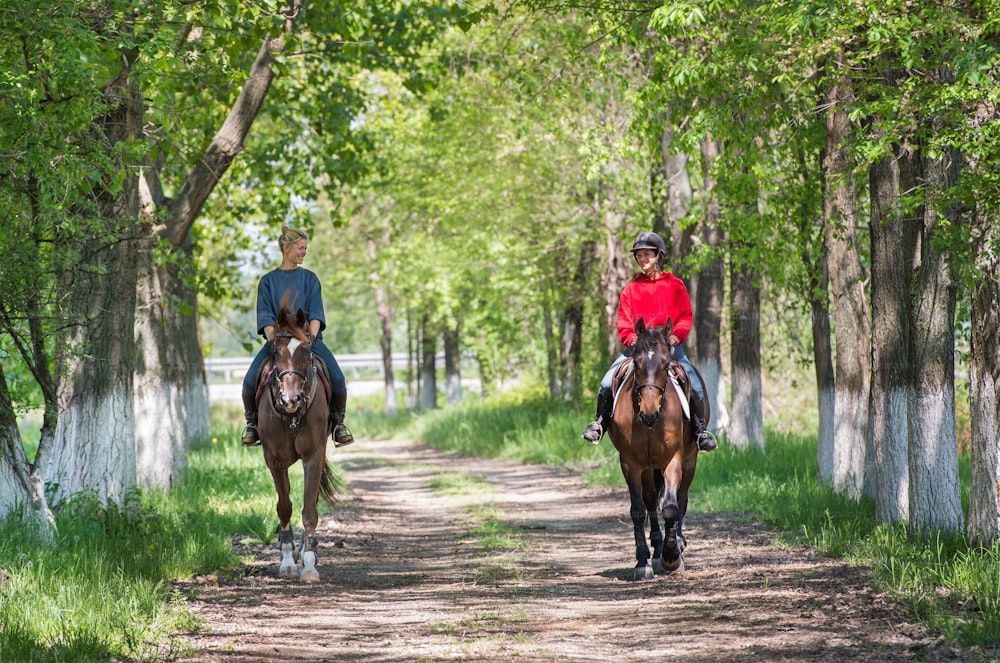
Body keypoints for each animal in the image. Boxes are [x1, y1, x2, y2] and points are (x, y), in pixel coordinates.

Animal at [256, 306, 338, 580]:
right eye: (276, 351)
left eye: (306, 350)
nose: (291, 399)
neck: (291, 415)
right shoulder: (274, 461)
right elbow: (284, 507)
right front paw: (287, 562)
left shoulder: (313, 456)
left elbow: (310, 511)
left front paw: (309, 564)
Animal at [604, 320, 708, 580]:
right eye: (637, 363)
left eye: (665, 364)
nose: (648, 413)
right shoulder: (630, 463)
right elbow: (638, 510)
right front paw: (643, 561)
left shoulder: (673, 459)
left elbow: (671, 507)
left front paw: (672, 557)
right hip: (648, 468)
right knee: (651, 500)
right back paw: (657, 547)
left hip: (689, 461)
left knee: (681, 498)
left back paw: (677, 543)